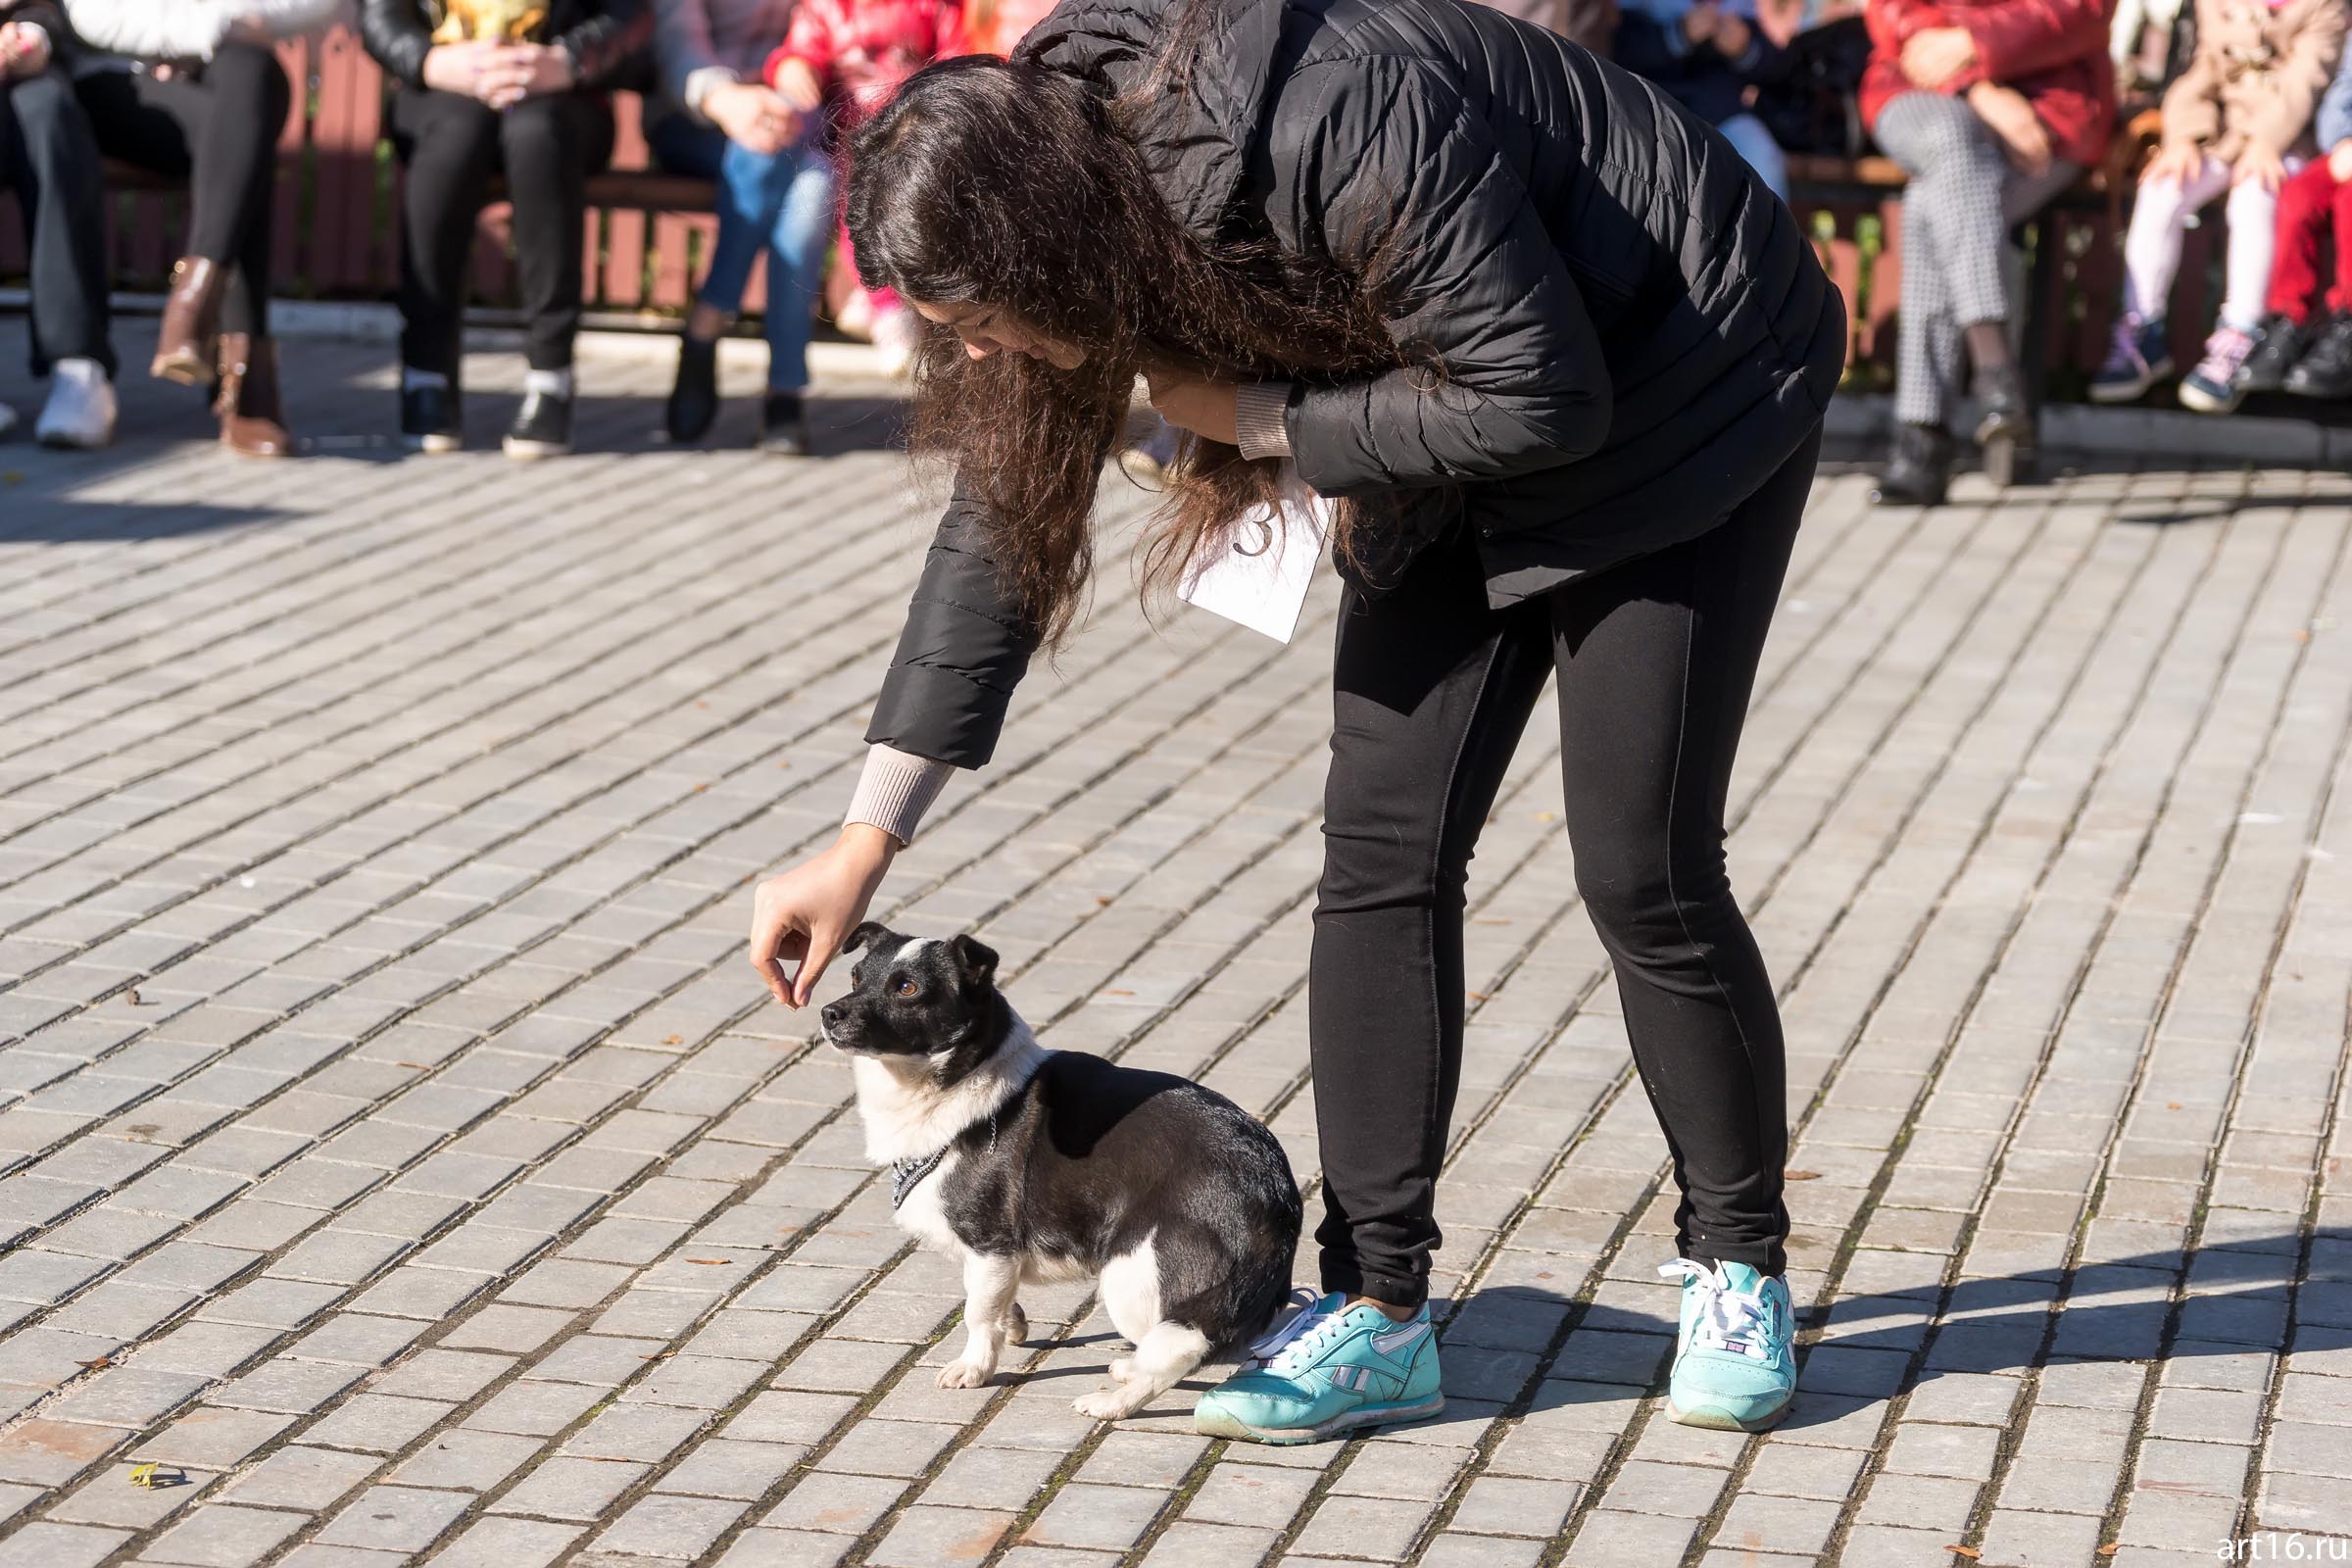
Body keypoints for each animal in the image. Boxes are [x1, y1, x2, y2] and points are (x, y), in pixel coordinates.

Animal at [823, 921, 1307, 1419]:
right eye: (856, 976)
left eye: (908, 988)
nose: (828, 1012)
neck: (956, 1081)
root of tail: (1275, 1190)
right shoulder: (996, 1262)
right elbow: (993, 1300)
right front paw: (1013, 1326)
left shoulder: (990, 1242)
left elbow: (977, 1313)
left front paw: (974, 1368)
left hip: (1132, 1274)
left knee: (1182, 1348)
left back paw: (1115, 1402)